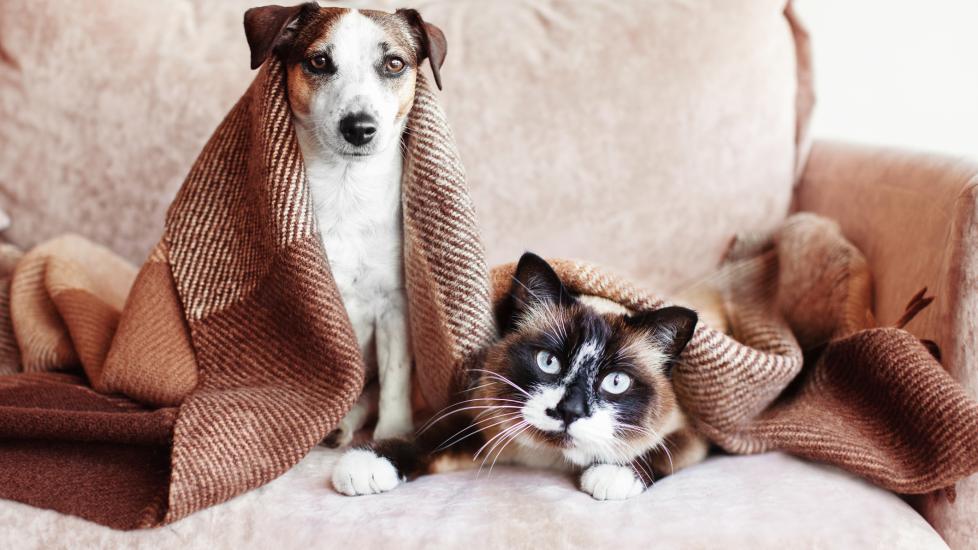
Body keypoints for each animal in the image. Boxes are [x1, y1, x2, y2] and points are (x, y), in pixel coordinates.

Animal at [244, 3, 446, 448]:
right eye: (319, 61)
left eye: (394, 63)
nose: (359, 127)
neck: (345, 188)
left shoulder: (393, 307)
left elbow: (394, 380)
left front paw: (392, 434)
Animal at [332, 254, 704, 500]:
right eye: (548, 362)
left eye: (616, 382)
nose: (569, 411)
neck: (549, 456)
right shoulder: (479, 426)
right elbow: (426, 438)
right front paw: (367, 464)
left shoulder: (691, 432)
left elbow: (659, 451)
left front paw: (611, 475)